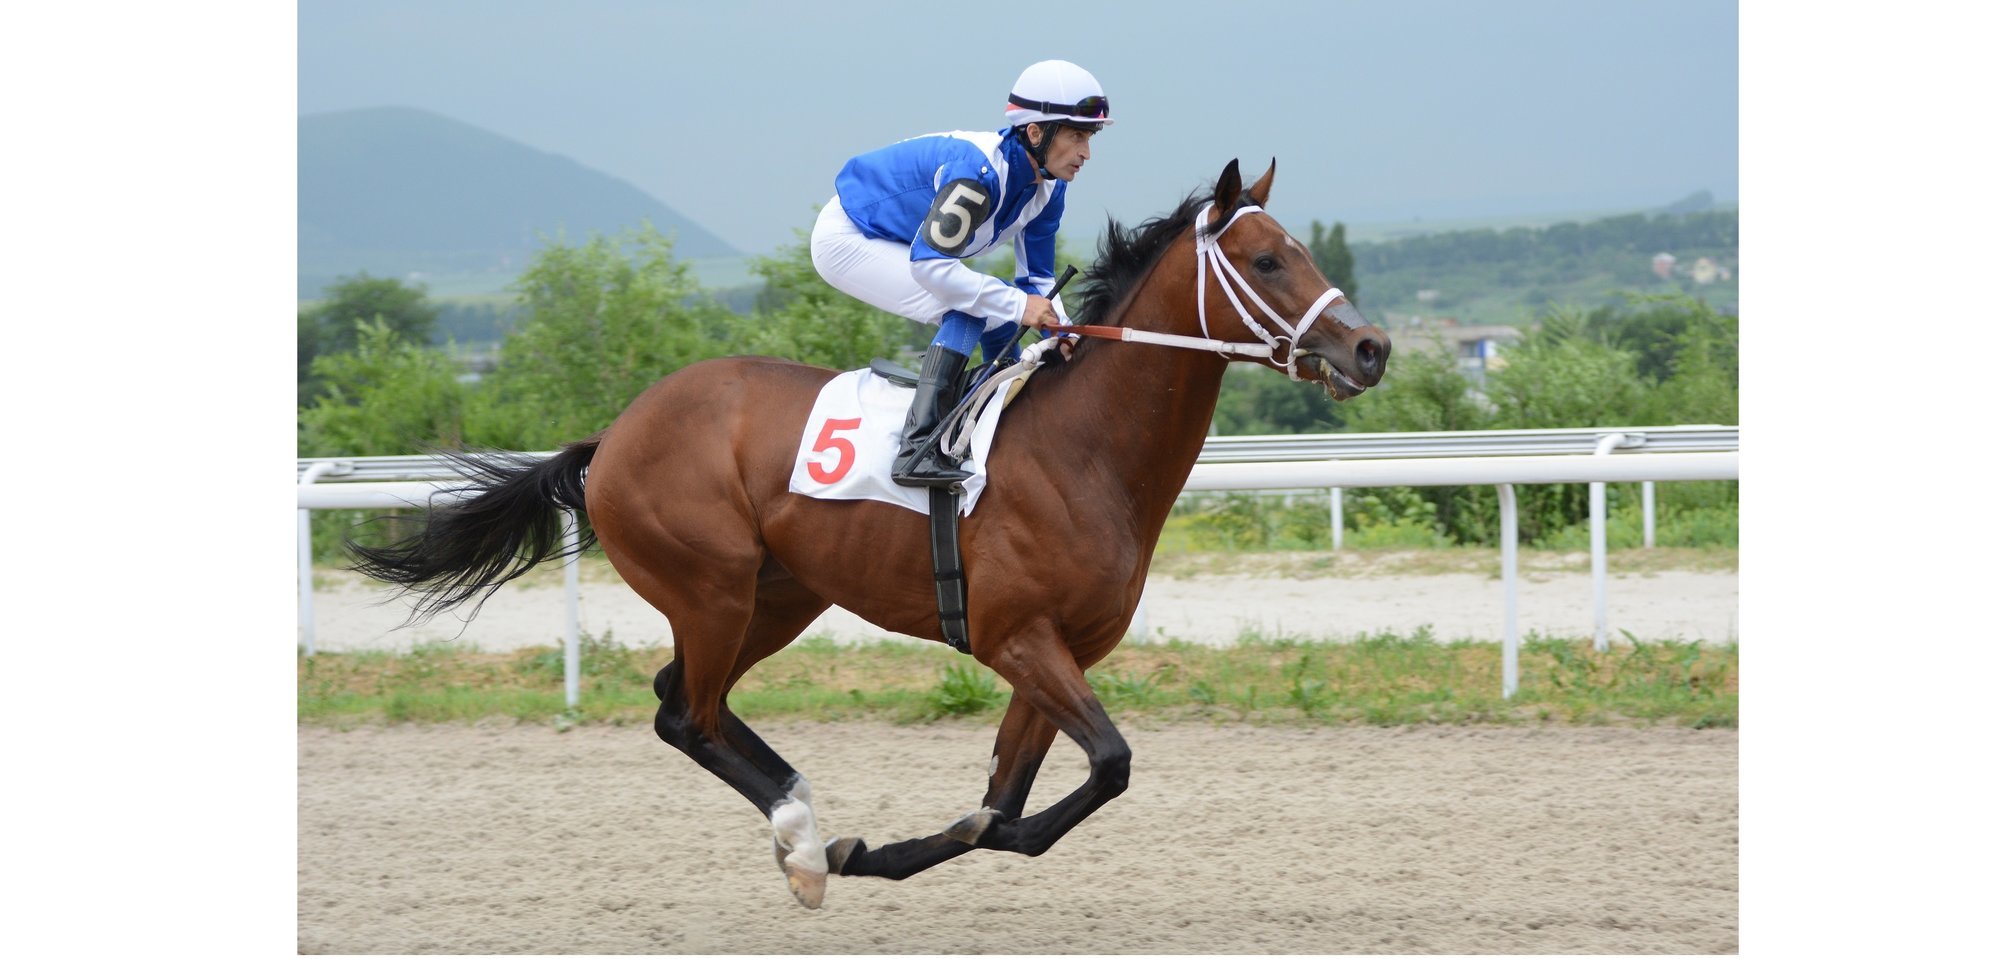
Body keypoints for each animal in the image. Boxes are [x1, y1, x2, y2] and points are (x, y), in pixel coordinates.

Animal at [352, 157, 1392, 907]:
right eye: (1267, 260)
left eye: (1299, 249)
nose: (1371, 346)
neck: (1084, 451)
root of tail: (615, 432)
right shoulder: (1018, 637)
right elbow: (1105, 766)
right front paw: (867, 850)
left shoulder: (1058, 650)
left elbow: (1013, 804)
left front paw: (896, 846)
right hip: (712, 587)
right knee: (687, 713)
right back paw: (803, 839)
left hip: (779, 597)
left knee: (682, 700)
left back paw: (806, 827)